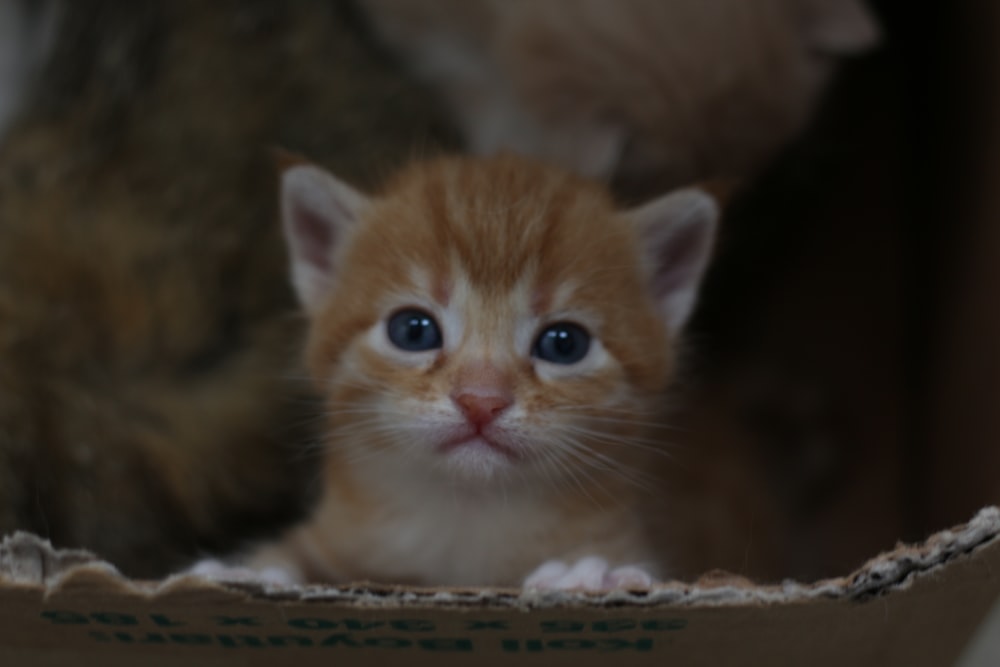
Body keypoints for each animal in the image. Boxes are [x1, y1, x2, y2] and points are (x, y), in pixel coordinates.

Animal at [195, 153, 716, 588]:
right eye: (413, 331)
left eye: (564, 344)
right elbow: (291, 554)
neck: (467, 514)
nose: (481, 401)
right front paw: (247, 572)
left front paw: (587, 575)